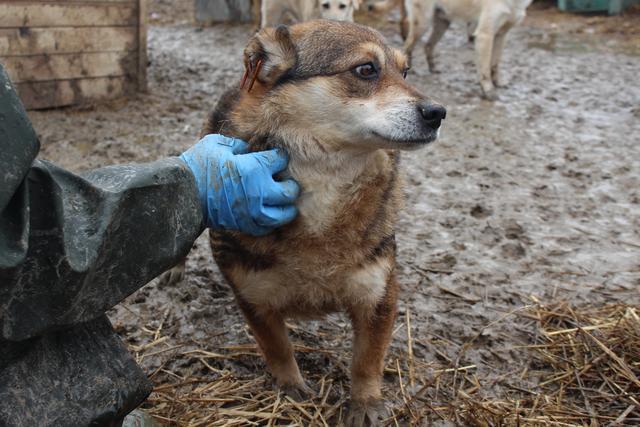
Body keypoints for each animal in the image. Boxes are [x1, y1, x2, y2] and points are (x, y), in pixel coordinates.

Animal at [200, 19, 444, 424]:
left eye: (405, 72)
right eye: (366, 69)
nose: (439, 112)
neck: (325, 187)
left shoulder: (379, 295)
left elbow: (367, 361)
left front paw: (365, 404)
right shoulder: (252, 297)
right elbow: (278, 348)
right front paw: (291, 388)